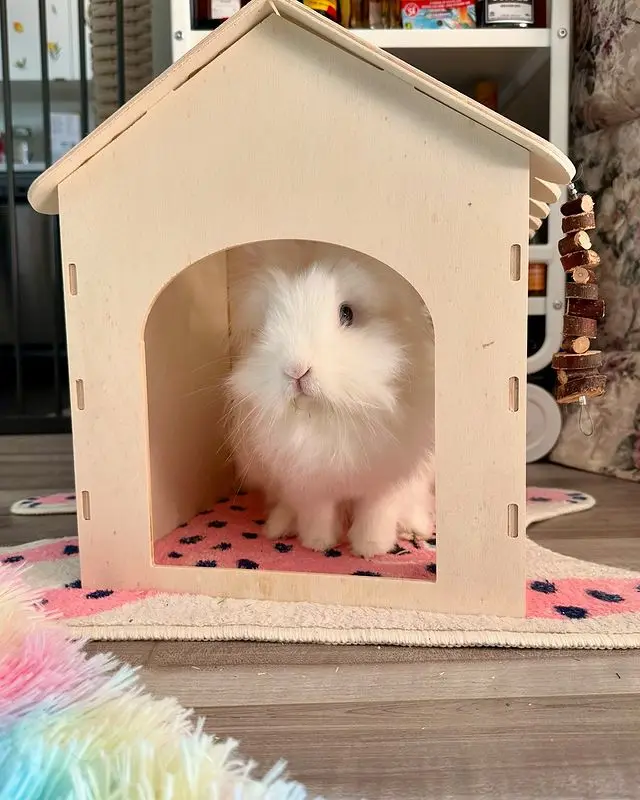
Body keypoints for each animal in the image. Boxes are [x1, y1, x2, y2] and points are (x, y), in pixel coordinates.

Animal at [225, 240, 435, 558]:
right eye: (266, 322)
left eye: (346, 313)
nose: (296, 370)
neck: (328, 413)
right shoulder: (309, 482)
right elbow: (318, 514)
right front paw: (317, 544)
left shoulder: (384, 482)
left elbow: (375, 513)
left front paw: (370, 549)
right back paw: (279, 527)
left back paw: (416, 529)